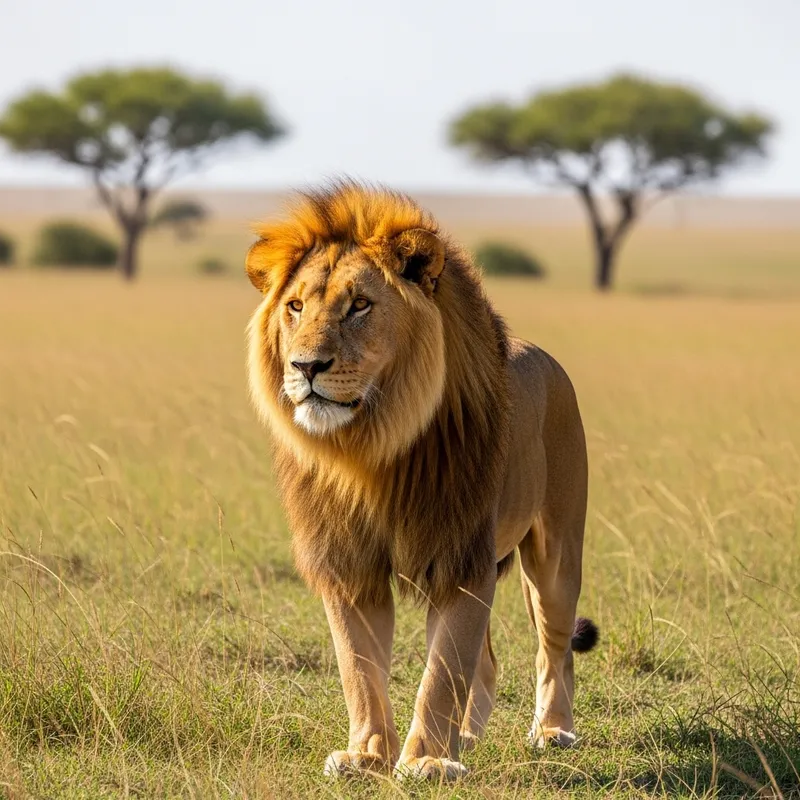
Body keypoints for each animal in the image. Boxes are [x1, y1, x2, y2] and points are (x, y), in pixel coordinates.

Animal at [245, 181, 598, 781]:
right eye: (295, 307)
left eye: (359, 305)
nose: (306, 366)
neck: (370, 450)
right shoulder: (349, 562)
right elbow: (359, 668)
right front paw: (368, 754)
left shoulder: (459, 556)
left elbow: (443, 669)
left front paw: (428, 760)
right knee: (488, 660)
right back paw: (467, 737)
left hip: (554, 549)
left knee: (553, 645)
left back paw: (552, 732)